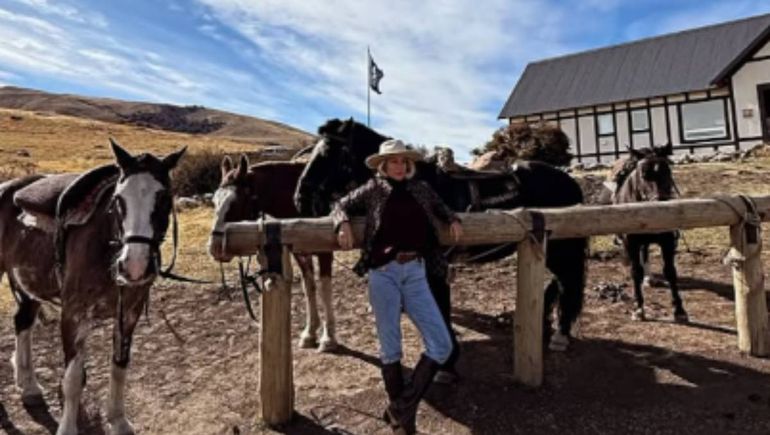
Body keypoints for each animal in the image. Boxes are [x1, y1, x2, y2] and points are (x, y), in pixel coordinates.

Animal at [0, 140, 186, 435]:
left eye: (164, 198)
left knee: (23, 323)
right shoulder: (74, 314)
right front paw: (68, 428)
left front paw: (118, 420)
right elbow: (73, 379)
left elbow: (119, 367)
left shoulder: (129, 313)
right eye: (118, 200)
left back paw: (29, 386)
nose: (134, 265)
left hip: (29, 285)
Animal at [207, 155, 336, 352]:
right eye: (214, 201)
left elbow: (324, 289)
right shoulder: (300, 253)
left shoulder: (325, 251)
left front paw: (328, 338)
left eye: (235, 203)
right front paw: (309, 333)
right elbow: (309, 288)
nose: (214, 247)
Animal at [292, 117, 584, 352]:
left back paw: (560, 336)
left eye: (328, 151)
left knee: (566, 281)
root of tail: (569, 182)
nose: (300, 197)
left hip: (561, 249)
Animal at [608, 144, 688, 324]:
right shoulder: (631, 243)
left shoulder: (667, 241)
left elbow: (670, 272)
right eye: (643, 174)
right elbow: (635, 272)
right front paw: (638, 309)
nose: (661, 208)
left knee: (645, 252)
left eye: (668, 171)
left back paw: (649, 278)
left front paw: (679, 310)